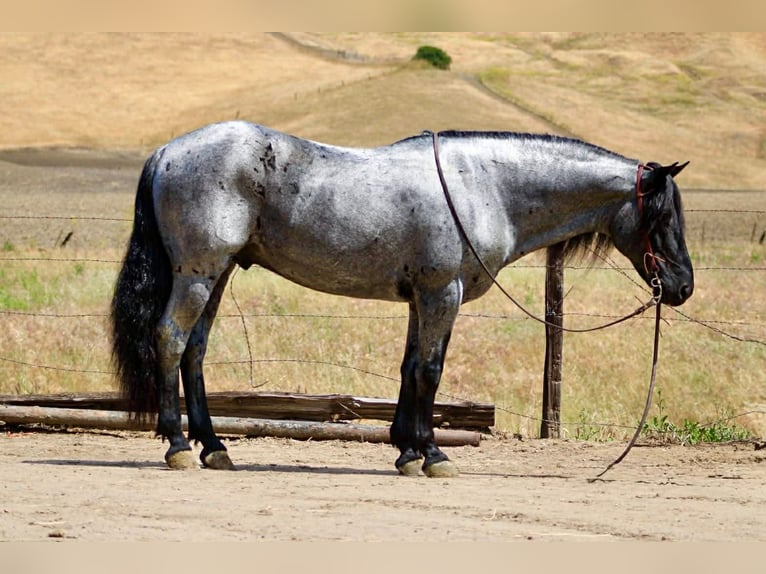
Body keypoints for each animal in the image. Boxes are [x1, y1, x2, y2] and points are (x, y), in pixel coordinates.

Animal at [110, 121, 693, 476]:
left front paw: (406, 450)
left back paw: (214, 447)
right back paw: (179, 445)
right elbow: (431, 370)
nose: (683, 286)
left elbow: (410, 368)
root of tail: (167, 151)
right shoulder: (441, 293)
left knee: (195, 350)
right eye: (663, 216)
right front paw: (432, 454)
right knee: (170, 339)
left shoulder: (421, 297)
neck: (483, 185)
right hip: (199, 273)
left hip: (219, 273)